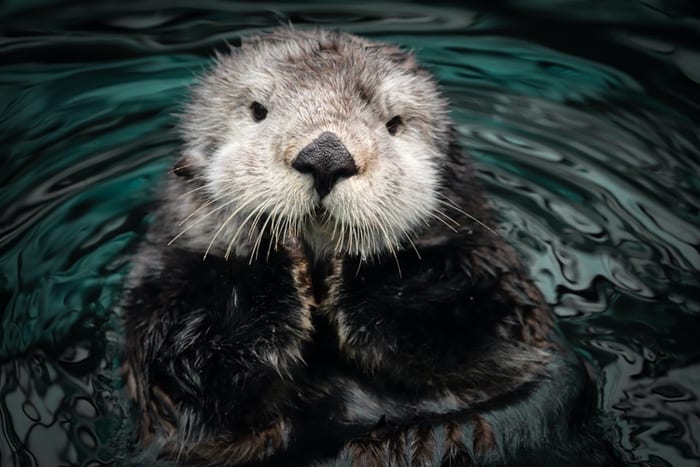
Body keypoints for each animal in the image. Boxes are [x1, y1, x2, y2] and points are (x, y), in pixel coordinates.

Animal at [120, 29, 625, 466]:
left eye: (394, 123)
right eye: (258, 109)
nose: (327, 156)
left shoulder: (498, 289)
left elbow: (474, 328)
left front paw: (361, 254)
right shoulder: (164, 300)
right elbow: (197, 376)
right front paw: (274, 244)